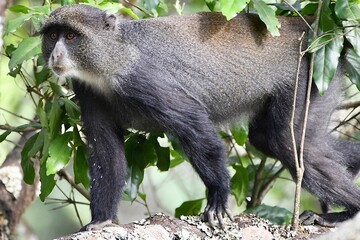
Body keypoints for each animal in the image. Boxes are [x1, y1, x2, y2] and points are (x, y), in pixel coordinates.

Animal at [39, 4, 360, 231]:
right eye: (53, 36)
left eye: (71, 36)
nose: (55, 55)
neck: (112, 58)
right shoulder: (87, 91)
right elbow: (107, 153)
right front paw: (102, 220)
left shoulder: (144, 80)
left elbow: (194, 126)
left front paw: (217, 199)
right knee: (271, 139)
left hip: (308, 74)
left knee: (286, 141)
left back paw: (347, 213)